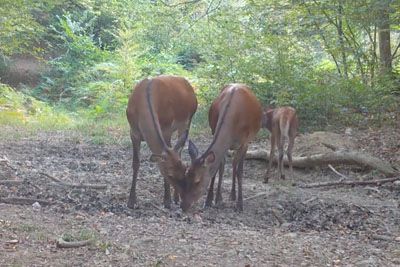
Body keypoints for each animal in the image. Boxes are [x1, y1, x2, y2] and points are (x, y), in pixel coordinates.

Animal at [126, 75, 198, 209]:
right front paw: (131, 201)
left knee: (180, 149)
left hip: (188, 120)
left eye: (184, 170)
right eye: (169, 174)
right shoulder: (133, 132)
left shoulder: (166, 128)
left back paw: (174, 198)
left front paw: (167, 200)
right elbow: (136, 163)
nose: (183, 197)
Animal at [178, 85, 262, 213]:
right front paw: (210, 200)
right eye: (186, 175)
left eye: (197, 181)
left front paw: (240, 204)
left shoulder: (245, 142)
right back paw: (226, 196)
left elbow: (240, 172)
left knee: (235, 163)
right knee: (230, 163)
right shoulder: (214, 131)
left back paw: (233, 196)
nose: (183, 206)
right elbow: (217, 168)